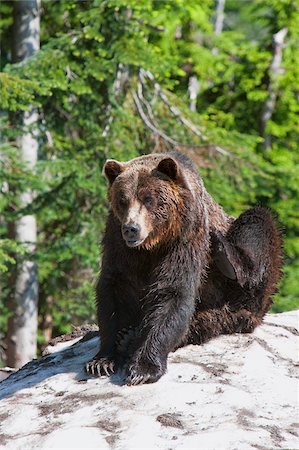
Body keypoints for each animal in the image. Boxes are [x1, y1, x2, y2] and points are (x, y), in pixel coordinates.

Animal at [85, 151, 282, 384]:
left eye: (148, 198)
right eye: (122, 200)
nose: (132, 228)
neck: (154, 242)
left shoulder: (185, 236)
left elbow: (173, 291)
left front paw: (143, 368)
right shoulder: (118, 242)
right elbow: (114, 290)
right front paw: (102, 360)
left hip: (239, 284)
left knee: (259, 221)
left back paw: (227, 256)